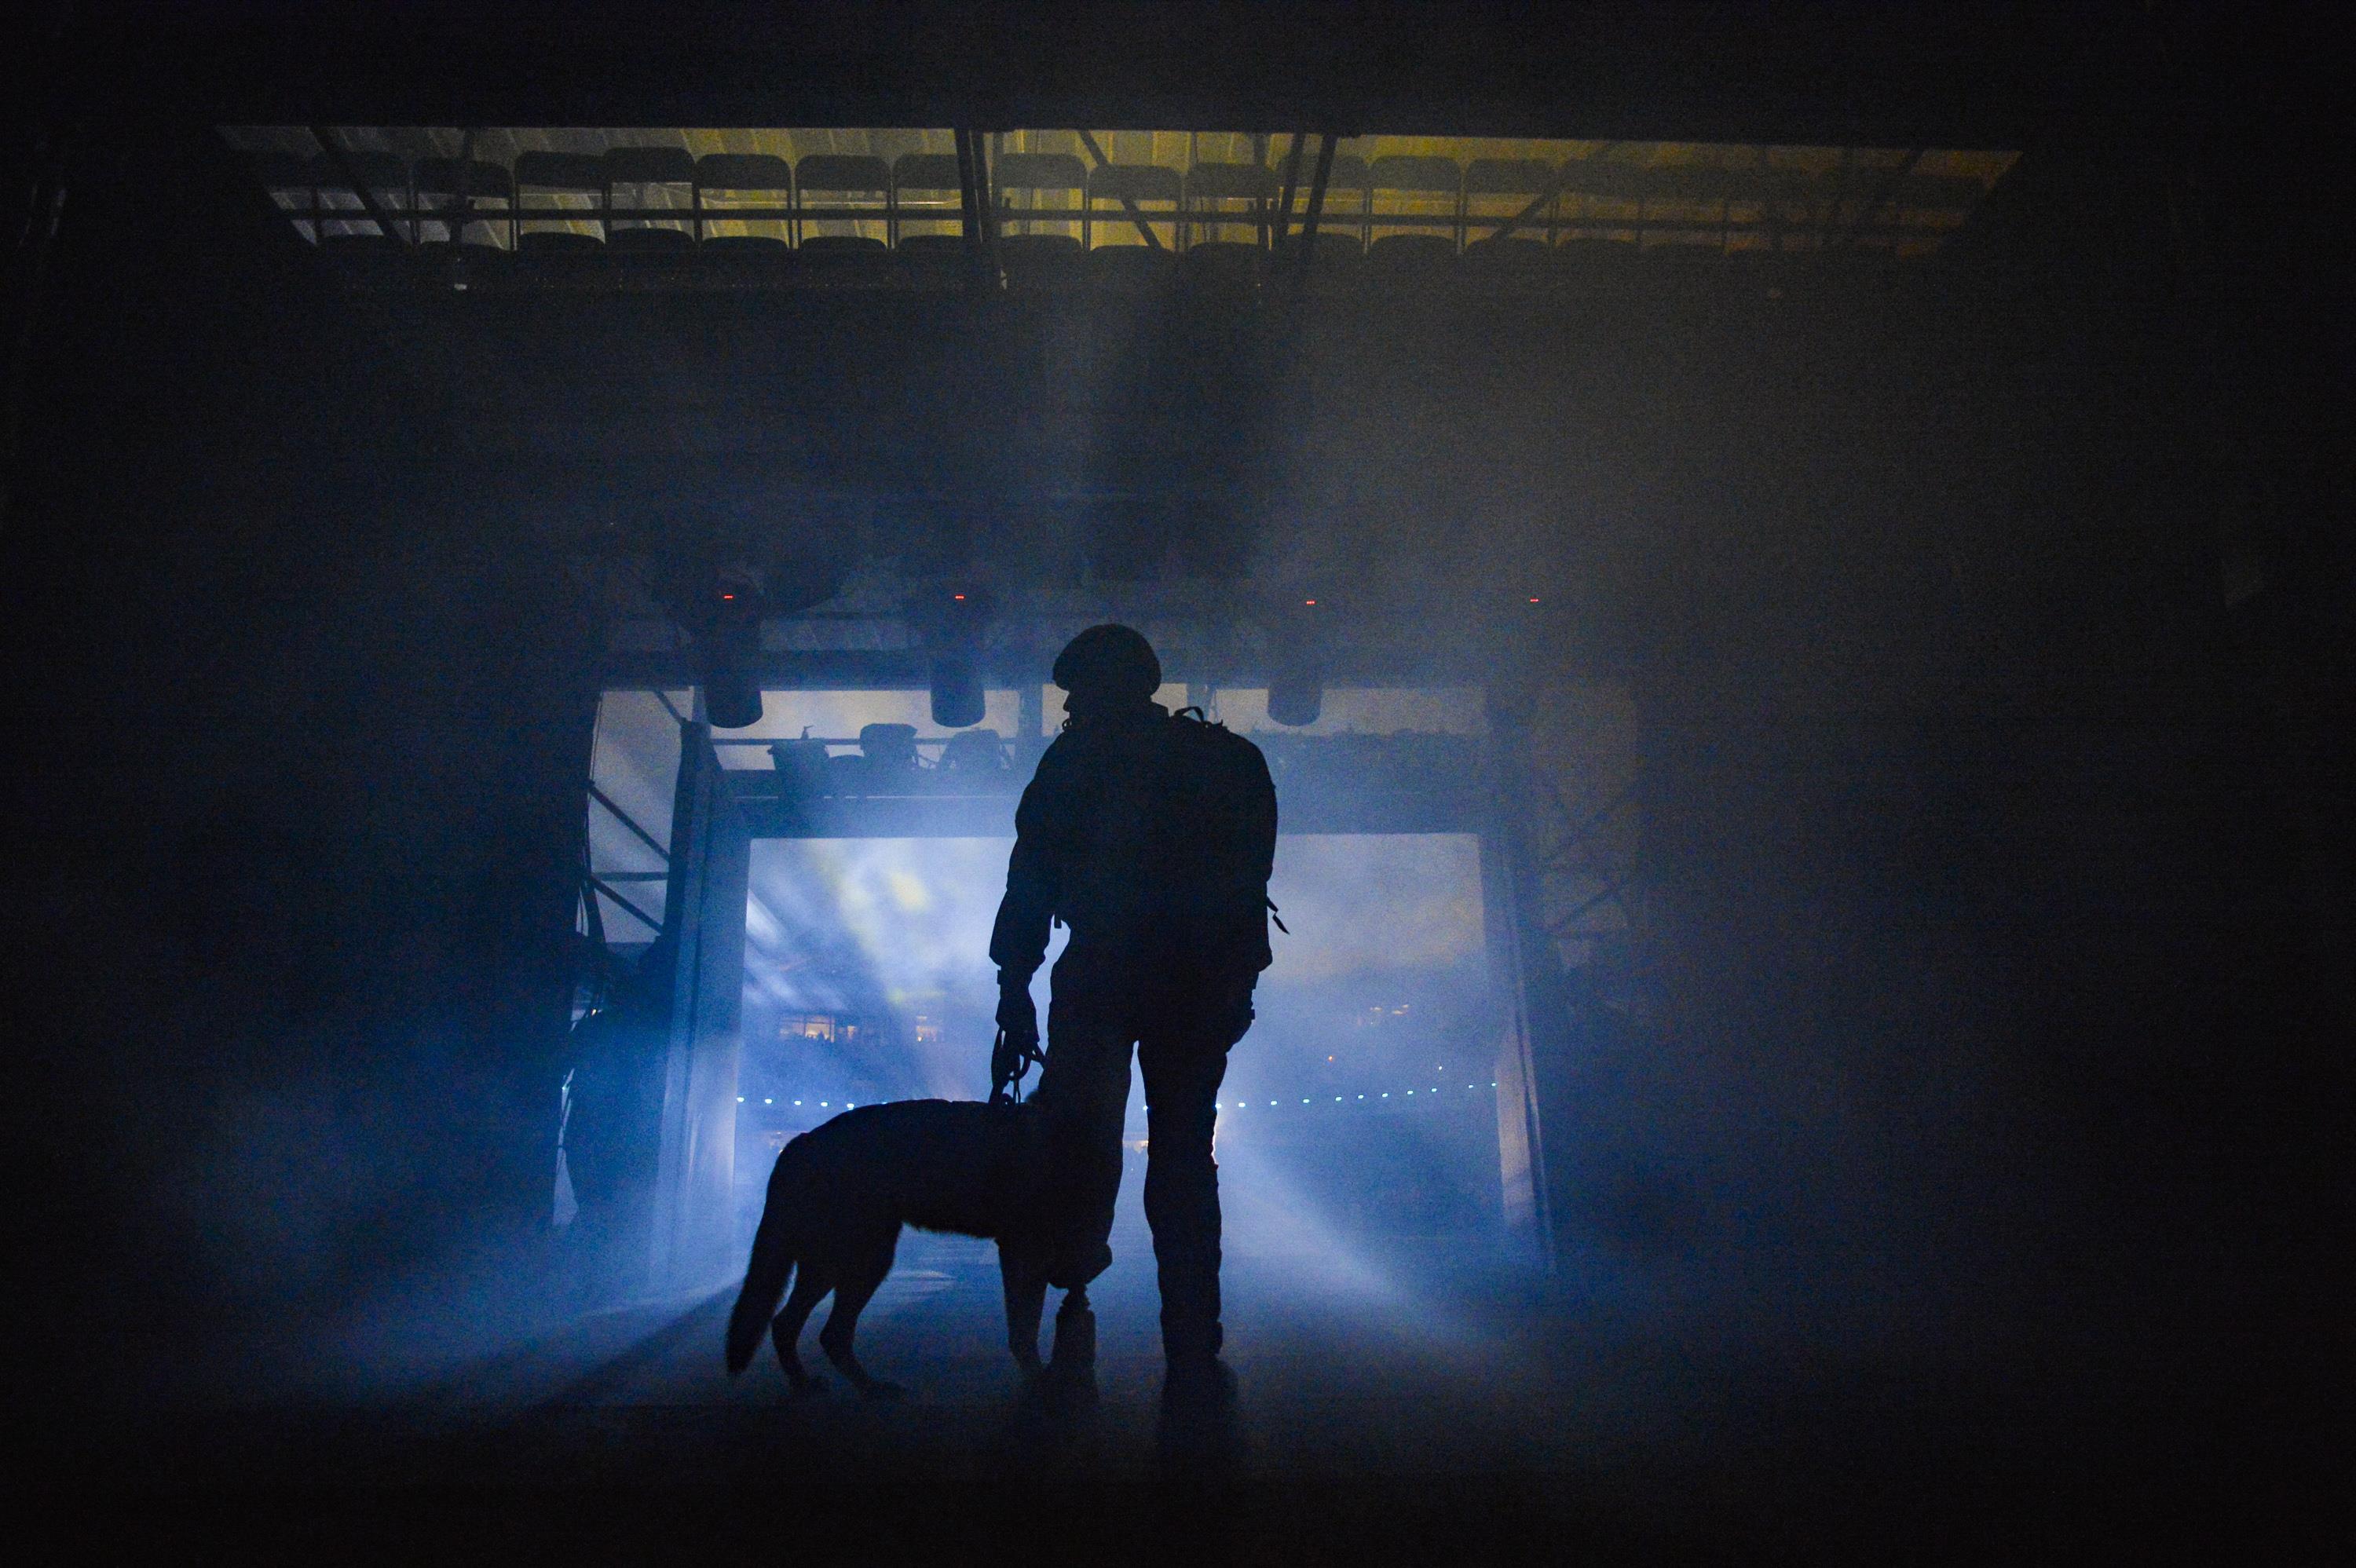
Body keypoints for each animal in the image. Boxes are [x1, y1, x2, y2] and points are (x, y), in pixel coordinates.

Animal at [721, 1097, 1079, 1394]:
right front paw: (1041, 1381)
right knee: (815, 1330)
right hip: (858, 1262)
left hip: (844, 1264)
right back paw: (848, 1387)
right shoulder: (1025, 1249)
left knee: (801, 1328)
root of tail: (800, 1142)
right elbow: (1025, 1328)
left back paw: (840, 1386)